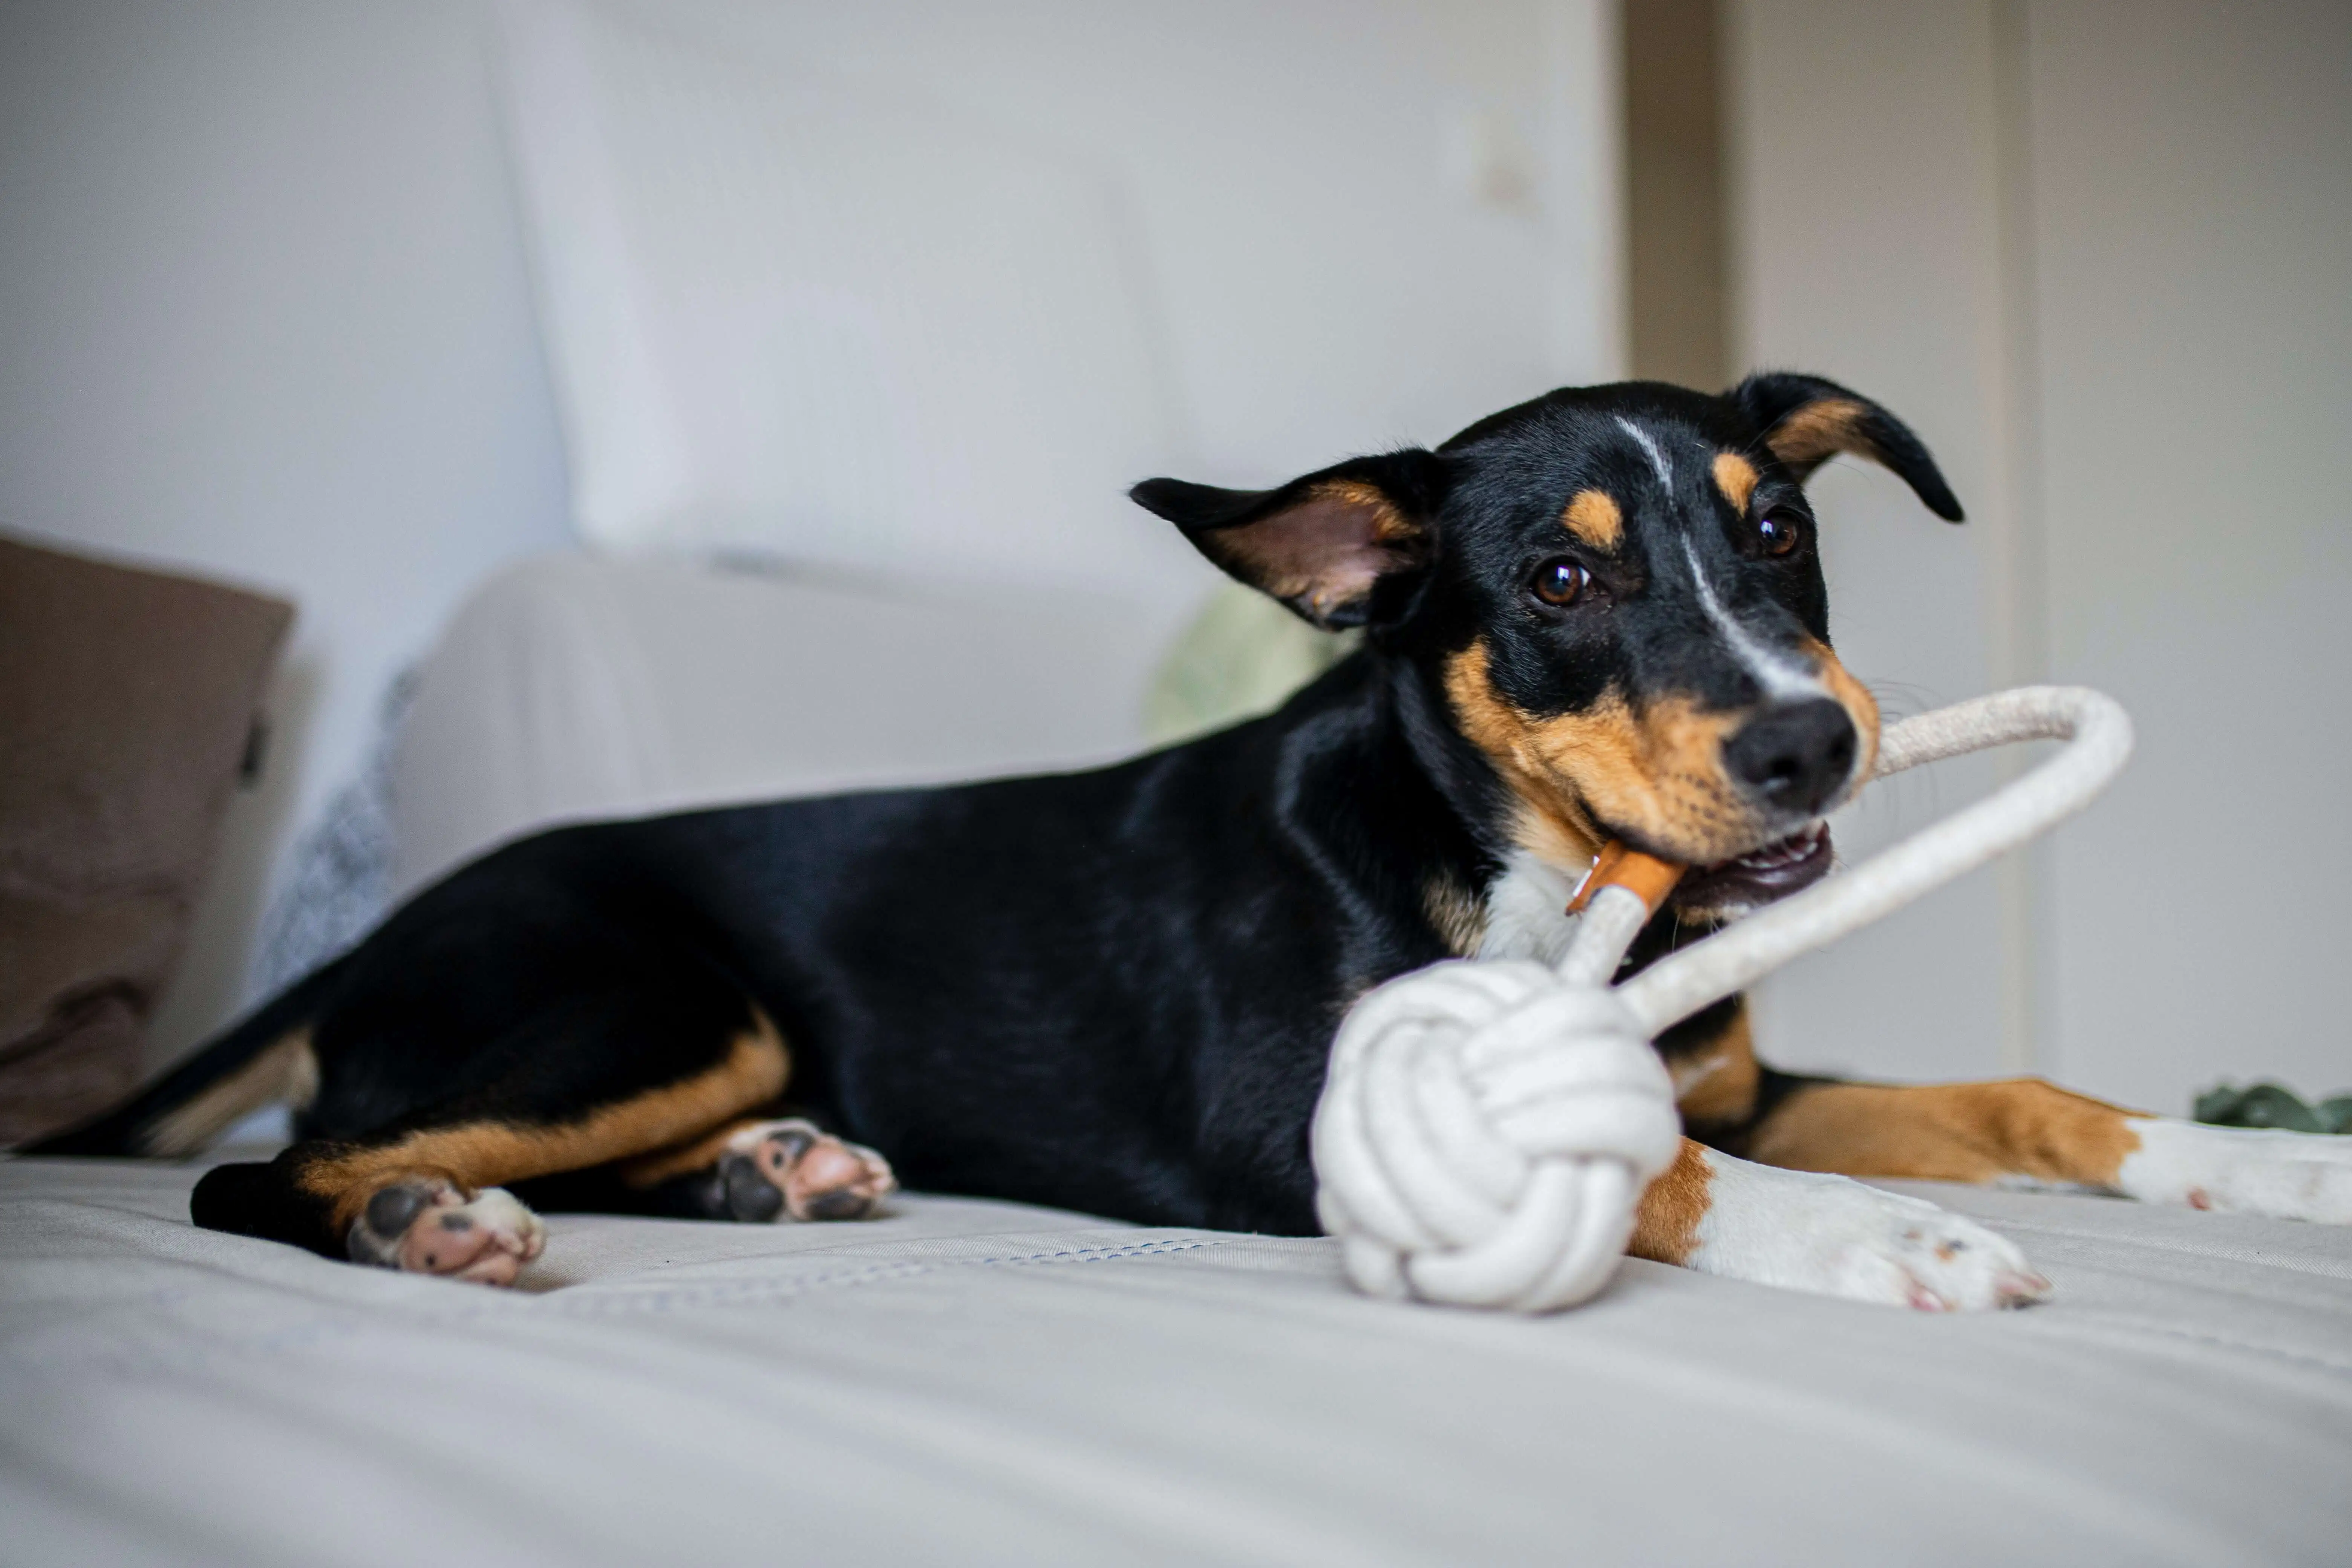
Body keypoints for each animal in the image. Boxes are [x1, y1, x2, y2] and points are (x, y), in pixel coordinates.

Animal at [37, 376, 2352, 1297]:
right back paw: (425, 1221)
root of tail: (381, 929)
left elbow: (2016, 1094)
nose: (1811, 743)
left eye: (1776, 526)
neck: (1506, 856)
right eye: (1562, 580)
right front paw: (1891, 1245)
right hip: (651, 1000)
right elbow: (1657, 1168)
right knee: (274, 1168)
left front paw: (2266, 1164)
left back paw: (773, 1177)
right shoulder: (1297, 1121)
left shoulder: (1744, 1074)